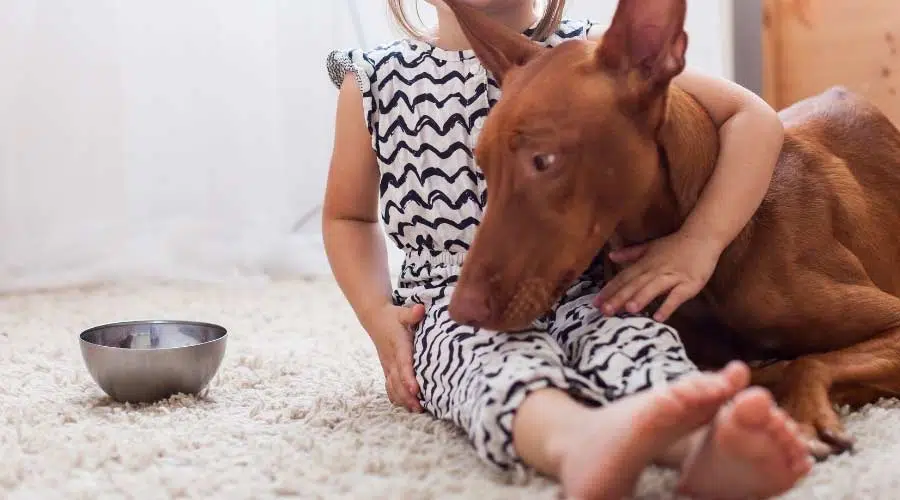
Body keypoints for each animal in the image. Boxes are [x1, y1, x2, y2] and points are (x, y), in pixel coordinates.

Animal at [446, 0, 900, 460]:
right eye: (484, 165)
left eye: (544, 160)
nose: (460, 311)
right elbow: (749, 371)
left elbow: (807, 361)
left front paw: (803, 413)